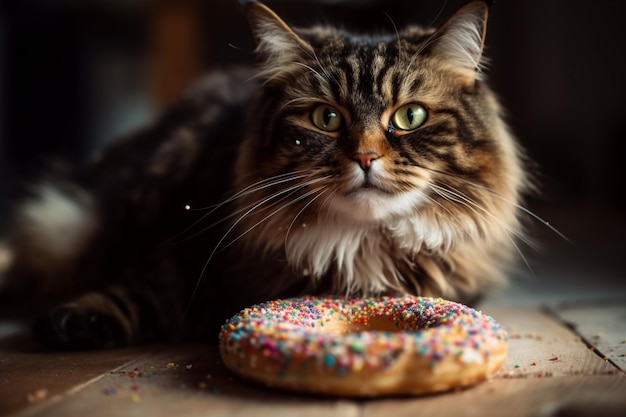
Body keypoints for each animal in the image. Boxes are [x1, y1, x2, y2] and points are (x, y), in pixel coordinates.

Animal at [0, 0, 528, 348]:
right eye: (326, 118)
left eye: (410, 116)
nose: (365, 157)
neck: (359, 246)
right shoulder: (175, 240)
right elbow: (144, 288)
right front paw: (71, 320)